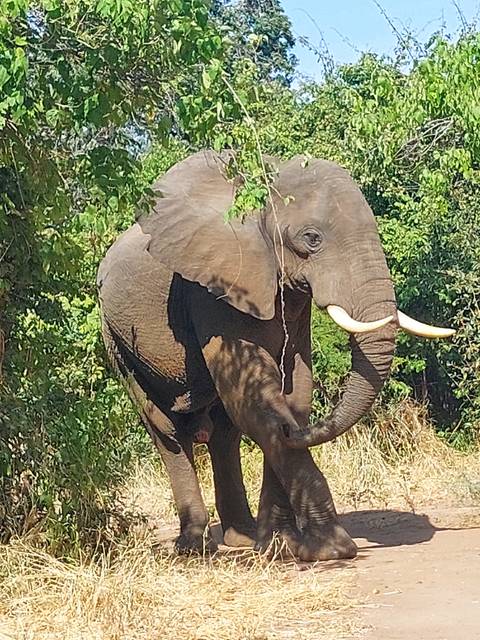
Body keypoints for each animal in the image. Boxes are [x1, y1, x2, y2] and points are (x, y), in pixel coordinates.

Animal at [97, 150, 454, 561]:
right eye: (311, 239)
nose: (292, 431)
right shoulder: (214, 286)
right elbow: (255, 397)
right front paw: (330, 549)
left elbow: (293, 390)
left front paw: (281, 544)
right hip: (115, 339)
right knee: (168, 432)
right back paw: (195, 547)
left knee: (224, 433)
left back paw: (244, 537)